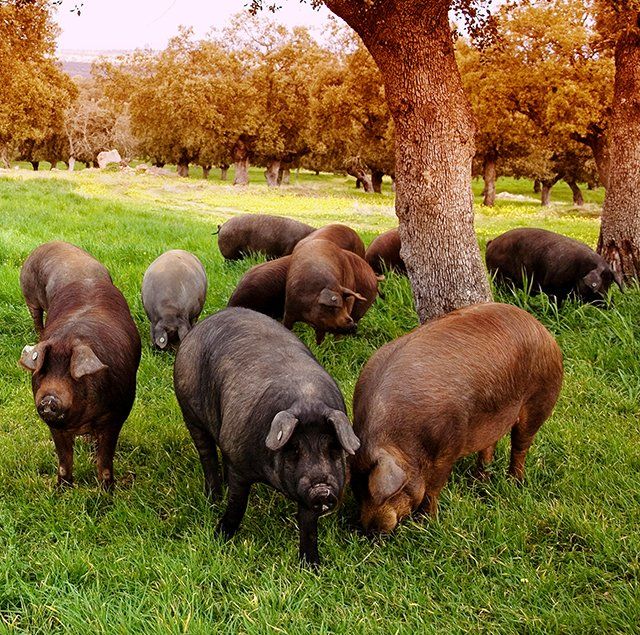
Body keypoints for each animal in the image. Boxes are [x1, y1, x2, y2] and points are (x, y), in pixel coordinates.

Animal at [19, 279, 141, 489]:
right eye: (42, 372)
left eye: (72, 375)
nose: (49, 399)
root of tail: (88, 280)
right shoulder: (56, 427)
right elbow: (64, 462)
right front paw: (61, 490)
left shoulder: (116, 416)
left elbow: (105, 461)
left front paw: (107, 492)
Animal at [173, 307, 360, 566]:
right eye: (294, 449)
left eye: (333, 448)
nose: (322, 489)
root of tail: (196, 329)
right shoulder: (240, 462)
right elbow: (237, 504)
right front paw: (220, 537)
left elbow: (308, 526)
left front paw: (312, 566)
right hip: (189, 410)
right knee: (207, 454)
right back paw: (213, 498)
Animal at [350, 302, 563, 533]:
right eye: (357, 491)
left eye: (386, 494)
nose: (371, 530)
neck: (402, 438)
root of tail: (542, 330)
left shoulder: (449, 444)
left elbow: (433, 489)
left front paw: (427, 523)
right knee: (489, 446)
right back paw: (480, 481)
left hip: (540, 398)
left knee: (520, 445)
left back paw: (514, 482)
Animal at [485, 227, 623, 304]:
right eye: (600, 284)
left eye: (610, 283)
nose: (609, 304)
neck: (580, 270)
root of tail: (491, 242)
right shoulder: (553, 289)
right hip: (499, 277)